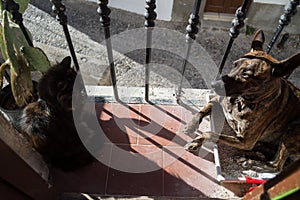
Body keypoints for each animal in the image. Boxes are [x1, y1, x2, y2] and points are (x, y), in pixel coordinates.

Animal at [184, 30, 298, 172]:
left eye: (246, 74)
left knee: (276, 165)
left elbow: (210, 133)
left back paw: (251, 162)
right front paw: (191, 125)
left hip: (293, 129)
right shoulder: (216, 99)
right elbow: (202, 110)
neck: (240, 101)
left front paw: (196, 141)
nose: (213, 84)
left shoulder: (245, 141)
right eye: (234, 64)